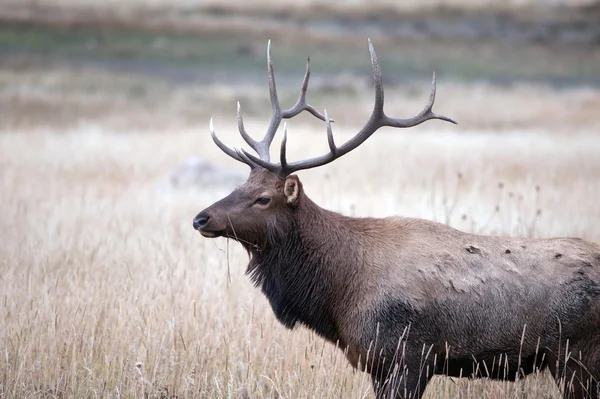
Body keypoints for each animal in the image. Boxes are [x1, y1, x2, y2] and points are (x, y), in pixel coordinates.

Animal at [192, 40, 600, 399]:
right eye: (240, 184)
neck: (338, 292)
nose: (200, 218)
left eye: (263, 198)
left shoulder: (408, 355)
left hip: (576, 354)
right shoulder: (379, 363)